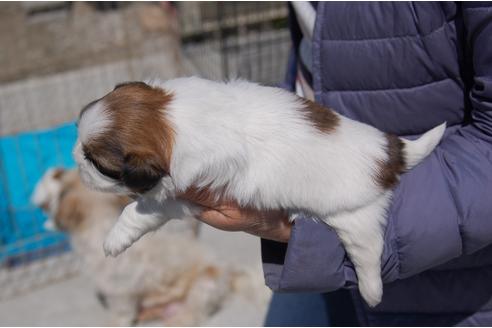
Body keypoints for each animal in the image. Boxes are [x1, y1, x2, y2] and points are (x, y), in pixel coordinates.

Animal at [30, 168, 270, 326]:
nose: (54, 170)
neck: (100, 223)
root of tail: (232, 272)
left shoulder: (121, 293)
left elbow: (121, 314)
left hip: (205, 285)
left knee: (193, 313)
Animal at [73, 76, 446, 304]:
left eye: (97, 163)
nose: (76, 158)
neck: (171, 119)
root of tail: (389, 152)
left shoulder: (181, 193)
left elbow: (138, 210)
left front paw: (114, 238)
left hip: (356, 220)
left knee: (368, 253)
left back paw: (371, 292)